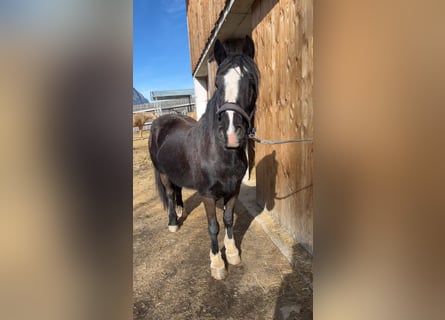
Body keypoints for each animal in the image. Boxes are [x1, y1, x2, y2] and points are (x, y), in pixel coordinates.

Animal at [149, 36, 258, 278]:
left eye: (251, 83)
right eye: (217, 84)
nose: (230, 134)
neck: (220, 153)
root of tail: (161, 121)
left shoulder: (234, 190)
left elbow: (228, 219)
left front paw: (233, 253)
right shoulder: (208, 195)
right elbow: (213, 226)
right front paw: (217, 263)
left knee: (178, 190)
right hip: (162, 173)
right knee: (169, 194)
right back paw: (173, 222)